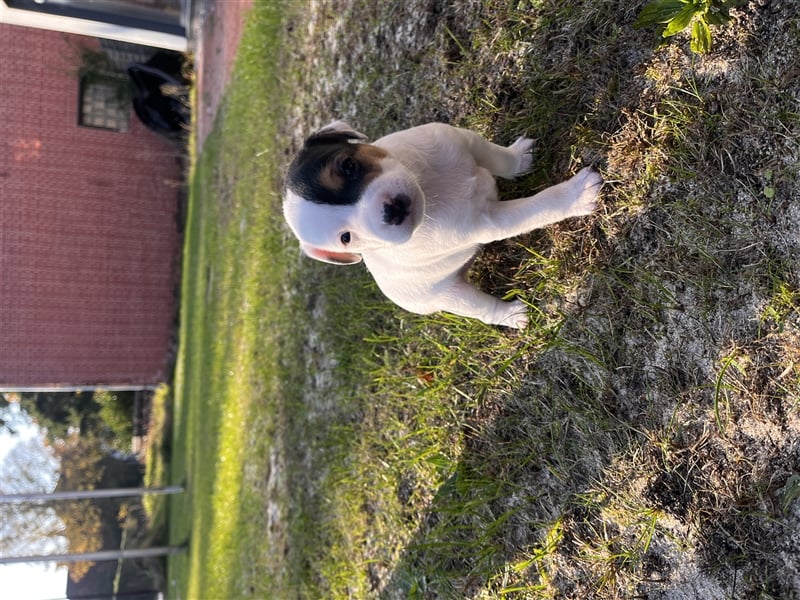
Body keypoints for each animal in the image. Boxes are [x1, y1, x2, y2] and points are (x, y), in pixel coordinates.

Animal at [282, 121, 600, 328]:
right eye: (346, 238)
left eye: (348, 165)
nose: (392, 211)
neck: (426, 185)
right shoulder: (490, 221)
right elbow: (539, 206)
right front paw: (576, 195)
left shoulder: (466, 142)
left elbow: (500, 159)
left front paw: (518, 158)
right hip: (452, 297)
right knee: (481, 309)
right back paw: (511, 315)